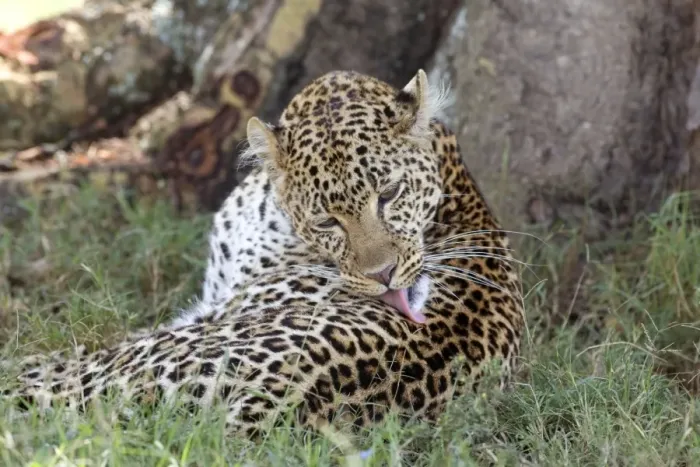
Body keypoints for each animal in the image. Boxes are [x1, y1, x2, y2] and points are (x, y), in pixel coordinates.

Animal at [2, 69, 525, 465]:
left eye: (391, 193)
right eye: (326, 219)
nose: (384, 276)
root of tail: (272, 412)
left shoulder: (208, 310)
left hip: (143, 358)